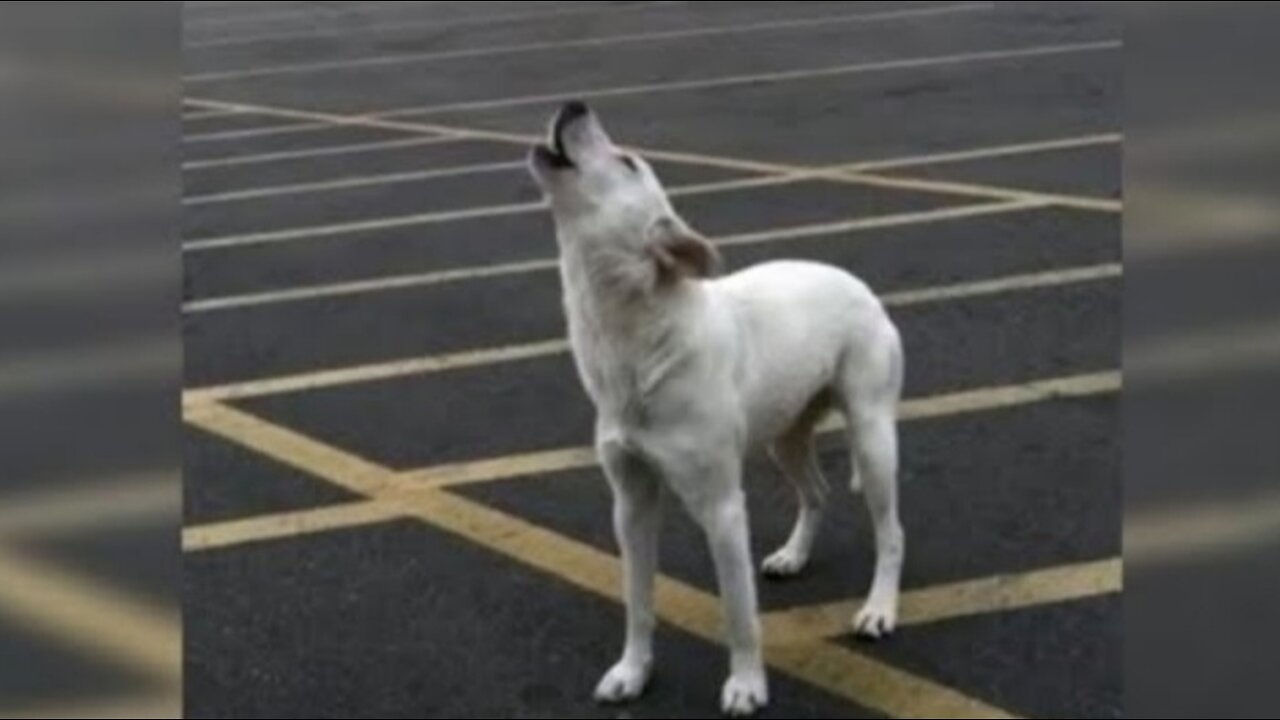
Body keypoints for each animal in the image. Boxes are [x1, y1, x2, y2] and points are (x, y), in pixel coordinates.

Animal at [524, 101, 906, 712]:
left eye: (628, 162)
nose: (574, 105)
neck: (638, 340)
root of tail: (860, 284)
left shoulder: (723, 507)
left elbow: (737, 610)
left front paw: (747, 685)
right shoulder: (630, 502)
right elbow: (637, 600)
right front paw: (633, 672)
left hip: (872, 439)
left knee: (891, 532)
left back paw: (878, 610)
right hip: (783, 438)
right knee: (816, 492)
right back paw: (794, 555)